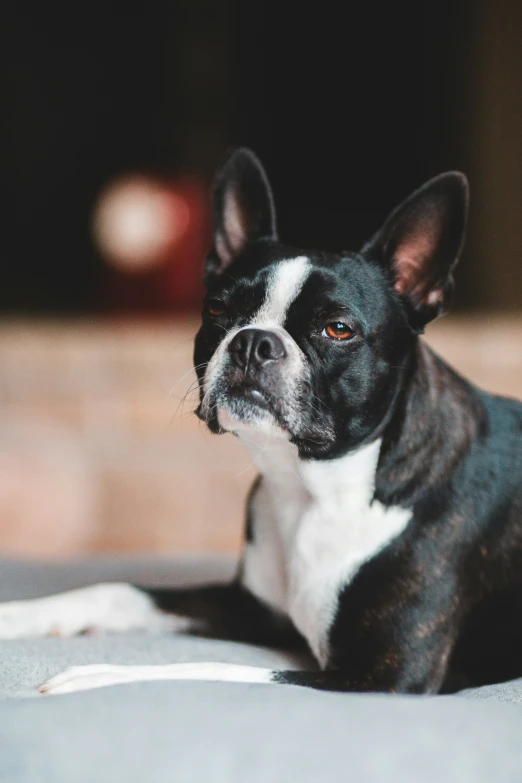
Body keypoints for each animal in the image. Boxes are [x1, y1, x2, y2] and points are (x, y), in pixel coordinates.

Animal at [1, 150, 520, 696]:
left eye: (338, 329)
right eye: (217, 308)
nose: (253, 340)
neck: (310, 487)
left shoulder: (388, 675)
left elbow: (221, 669)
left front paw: (101, 676)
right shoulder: (251, 607)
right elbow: (119, 590)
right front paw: (16, 616)